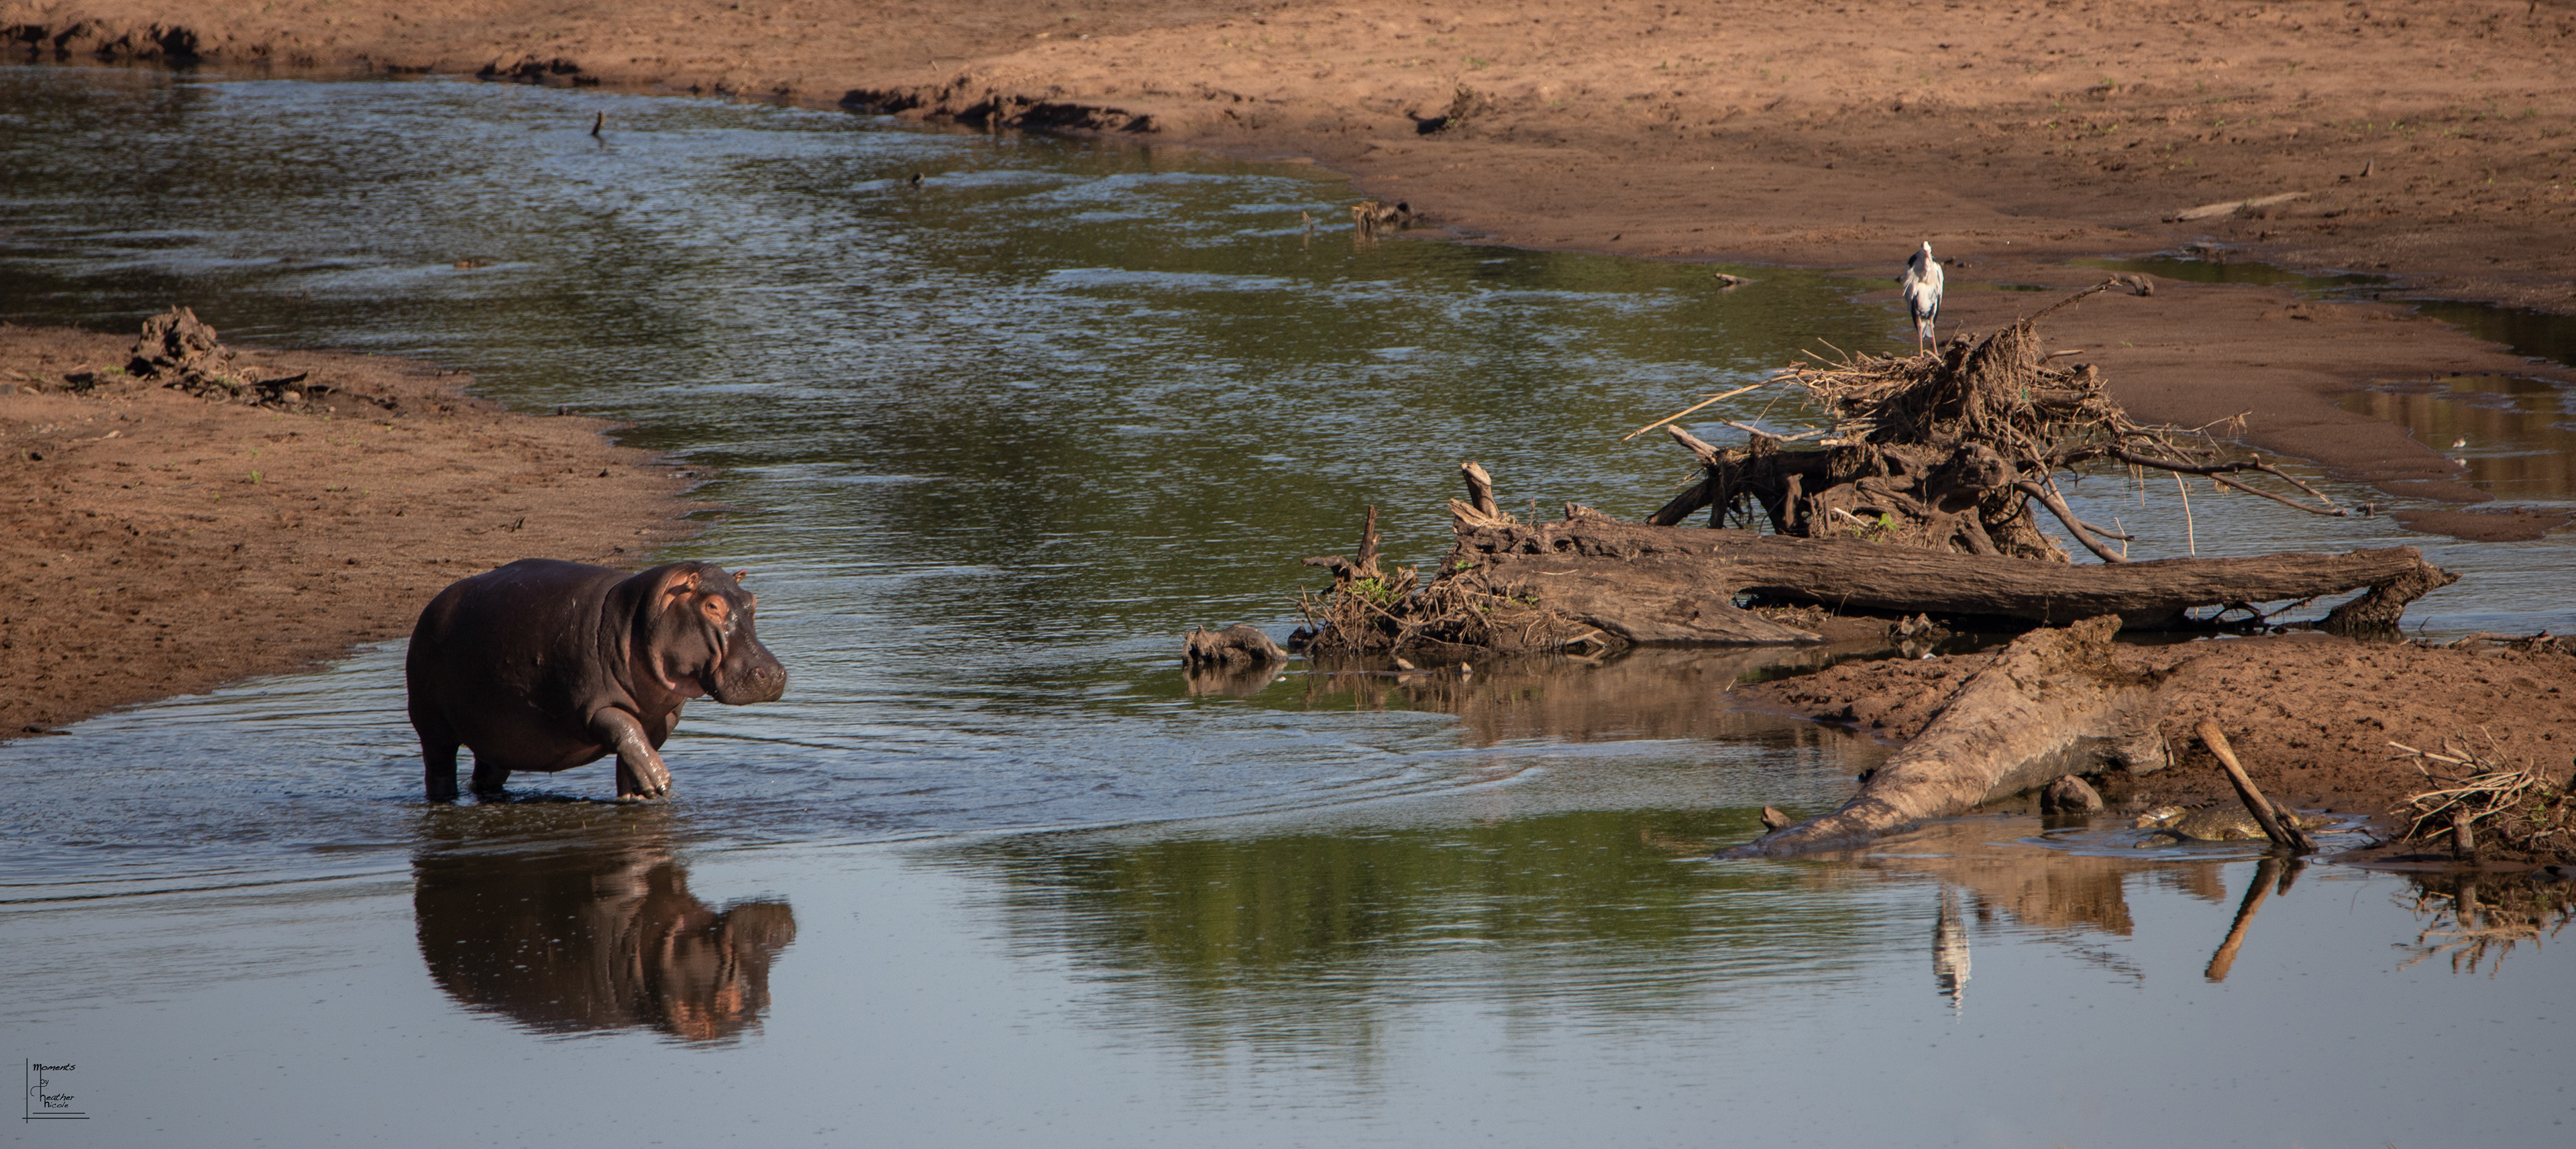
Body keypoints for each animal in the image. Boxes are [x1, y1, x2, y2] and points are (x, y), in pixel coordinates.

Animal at [406, 559, 787, 801]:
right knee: (439, 766)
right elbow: (623, 727)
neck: (641, 616)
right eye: (712, 606)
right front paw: (660, 780)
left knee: (488, 772)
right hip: (432, 724)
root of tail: (432, 605)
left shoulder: (662, 718)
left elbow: (635, 750)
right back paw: (443, 800)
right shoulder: (590, 706)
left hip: (497, 735)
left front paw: (641, 795)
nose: (773, 674)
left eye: (752, 601)